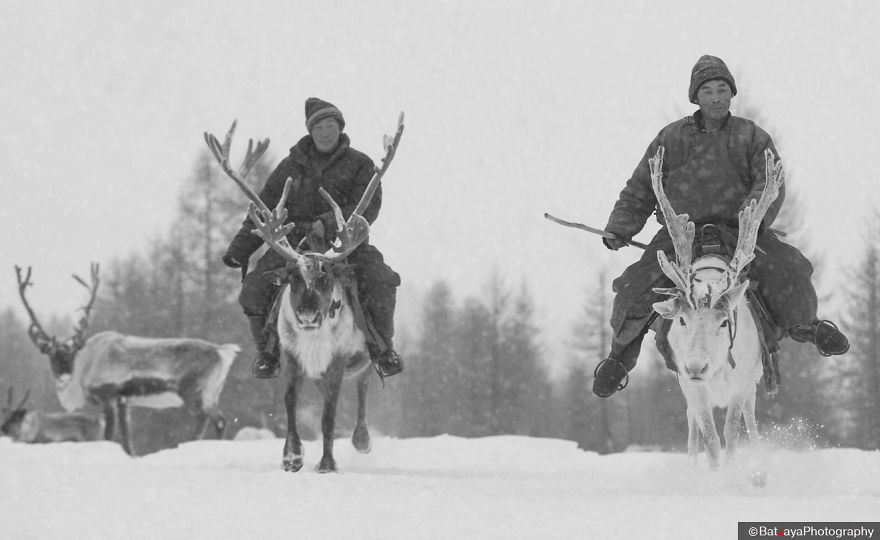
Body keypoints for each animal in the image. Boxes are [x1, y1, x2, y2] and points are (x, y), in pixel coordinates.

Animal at [14, 264, 241, 455]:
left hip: (192, 393)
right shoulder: (125, 402)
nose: (64, 377)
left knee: (210, 419)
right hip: (212, 393)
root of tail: (223, 351)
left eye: (72, 352)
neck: (85, 367)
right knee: (220, 419)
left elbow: (109, 436)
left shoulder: (108, 396)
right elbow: (127, 440)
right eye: (50, 354)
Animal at [648, 146, 784, 470]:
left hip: (753, 382)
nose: (697, 366)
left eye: (724, 322)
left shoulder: (742, 382)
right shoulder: (693, 388)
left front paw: (732, 472)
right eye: (682, 320)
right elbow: (709, 438)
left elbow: (732, 432)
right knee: (692, 428)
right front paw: (711, 475)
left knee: (751, 420)